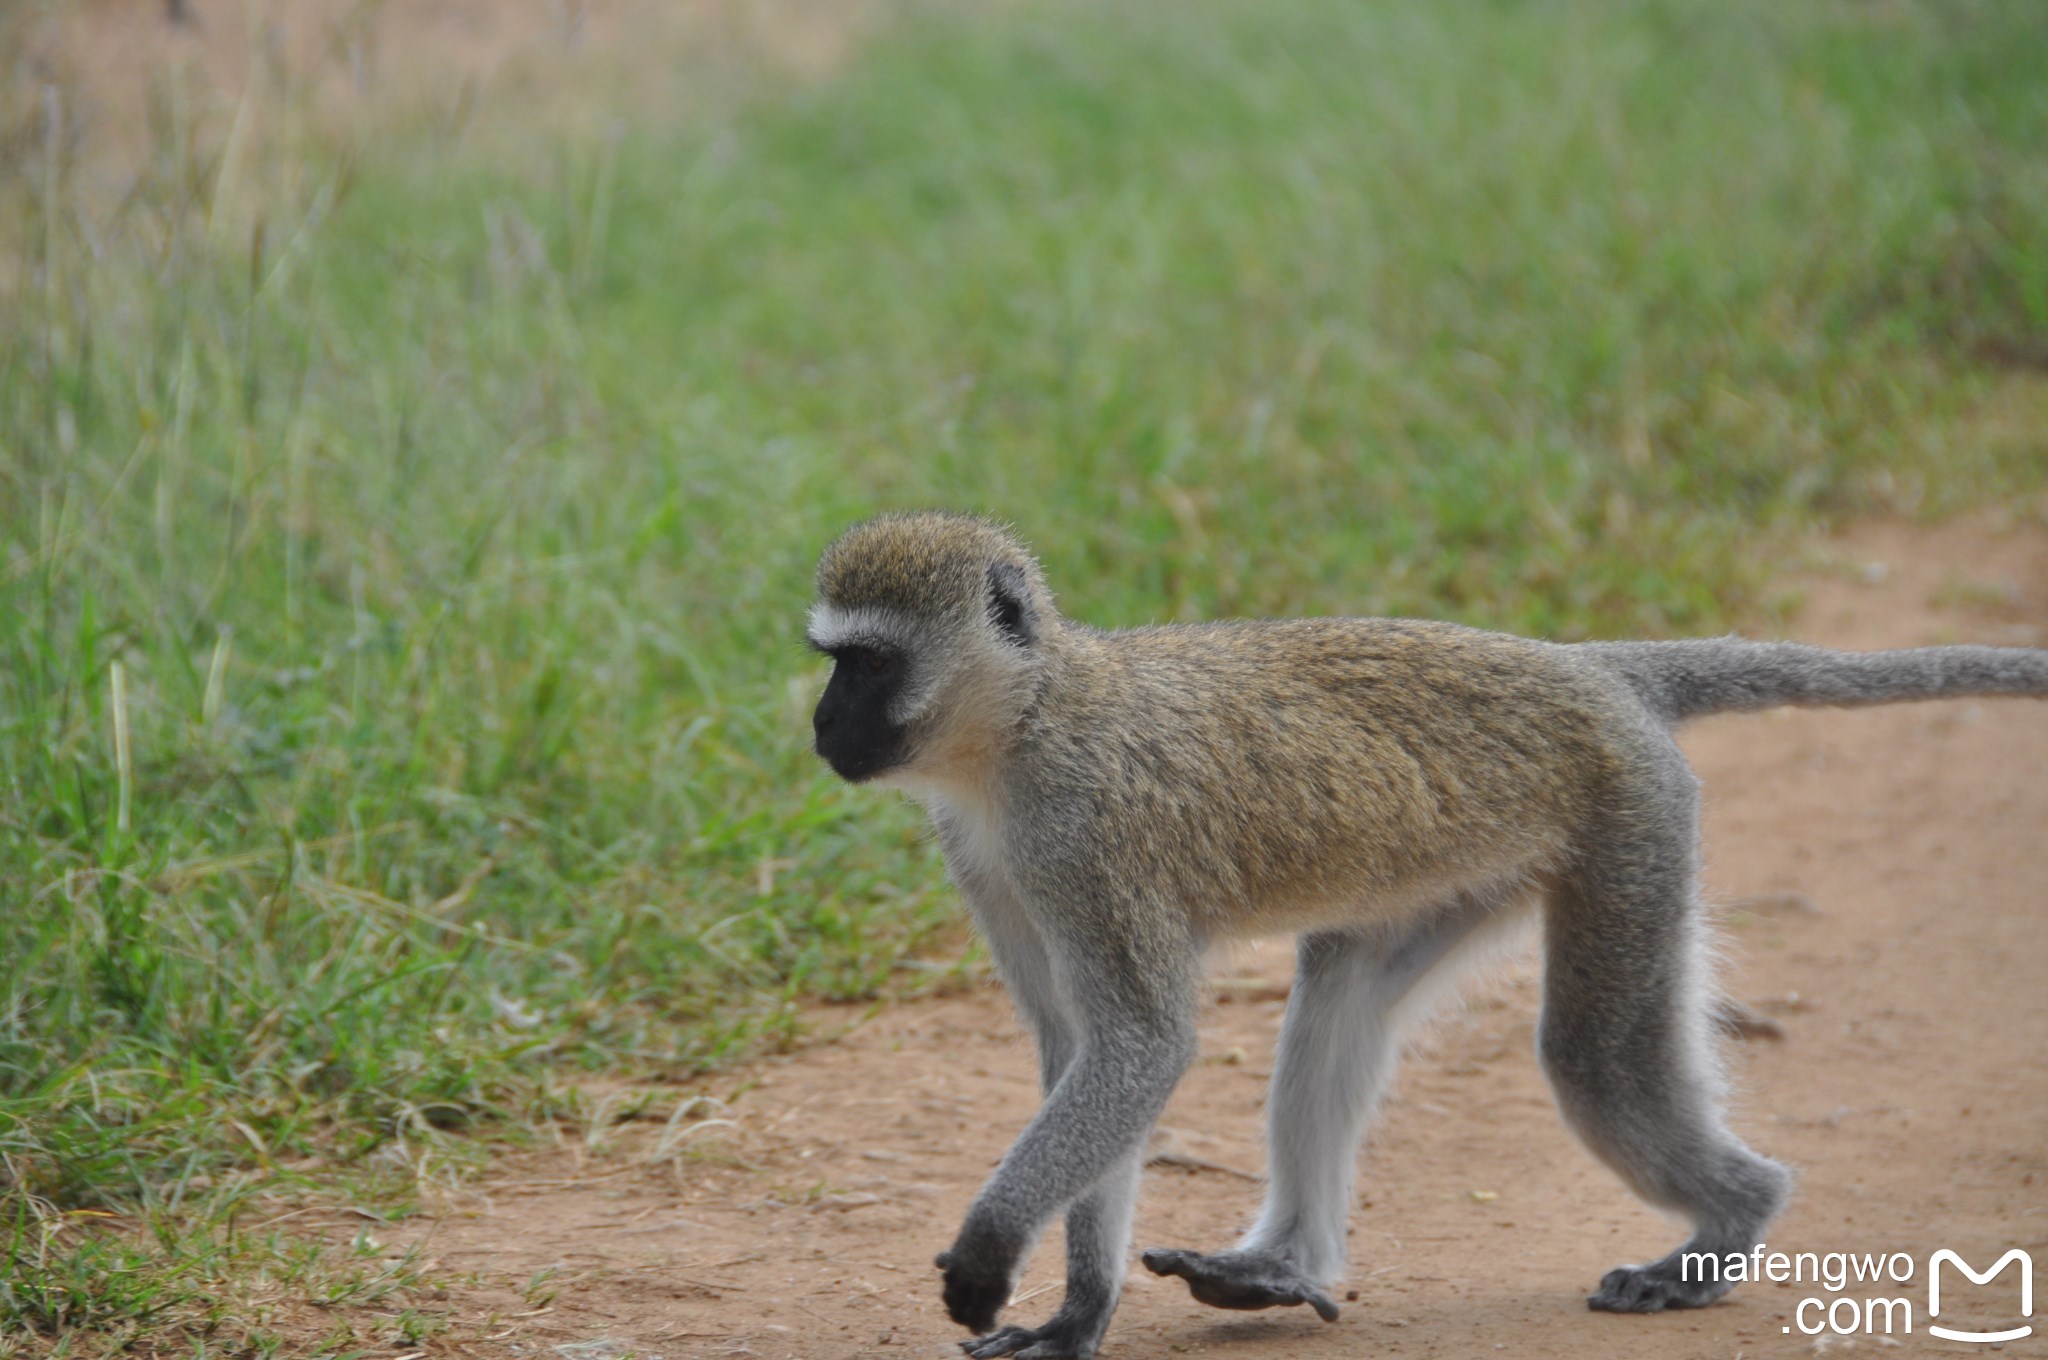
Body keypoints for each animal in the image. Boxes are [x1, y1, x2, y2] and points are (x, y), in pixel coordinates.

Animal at [802, 512, 2048, 1360]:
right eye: (834, 661)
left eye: (867, 663)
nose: (817, 723)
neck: (1021, 723)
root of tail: (1584, 665)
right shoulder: (986, 857)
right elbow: (1083, 1054)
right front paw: (1075, 1311)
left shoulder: (1081, 837)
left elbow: (1137, 1049)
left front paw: (991, 1250)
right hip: (1465, 867)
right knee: (1339, 994)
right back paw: (1284, 1265)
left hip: (1629, 820)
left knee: (1590, 1056)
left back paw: (1727, 1220)